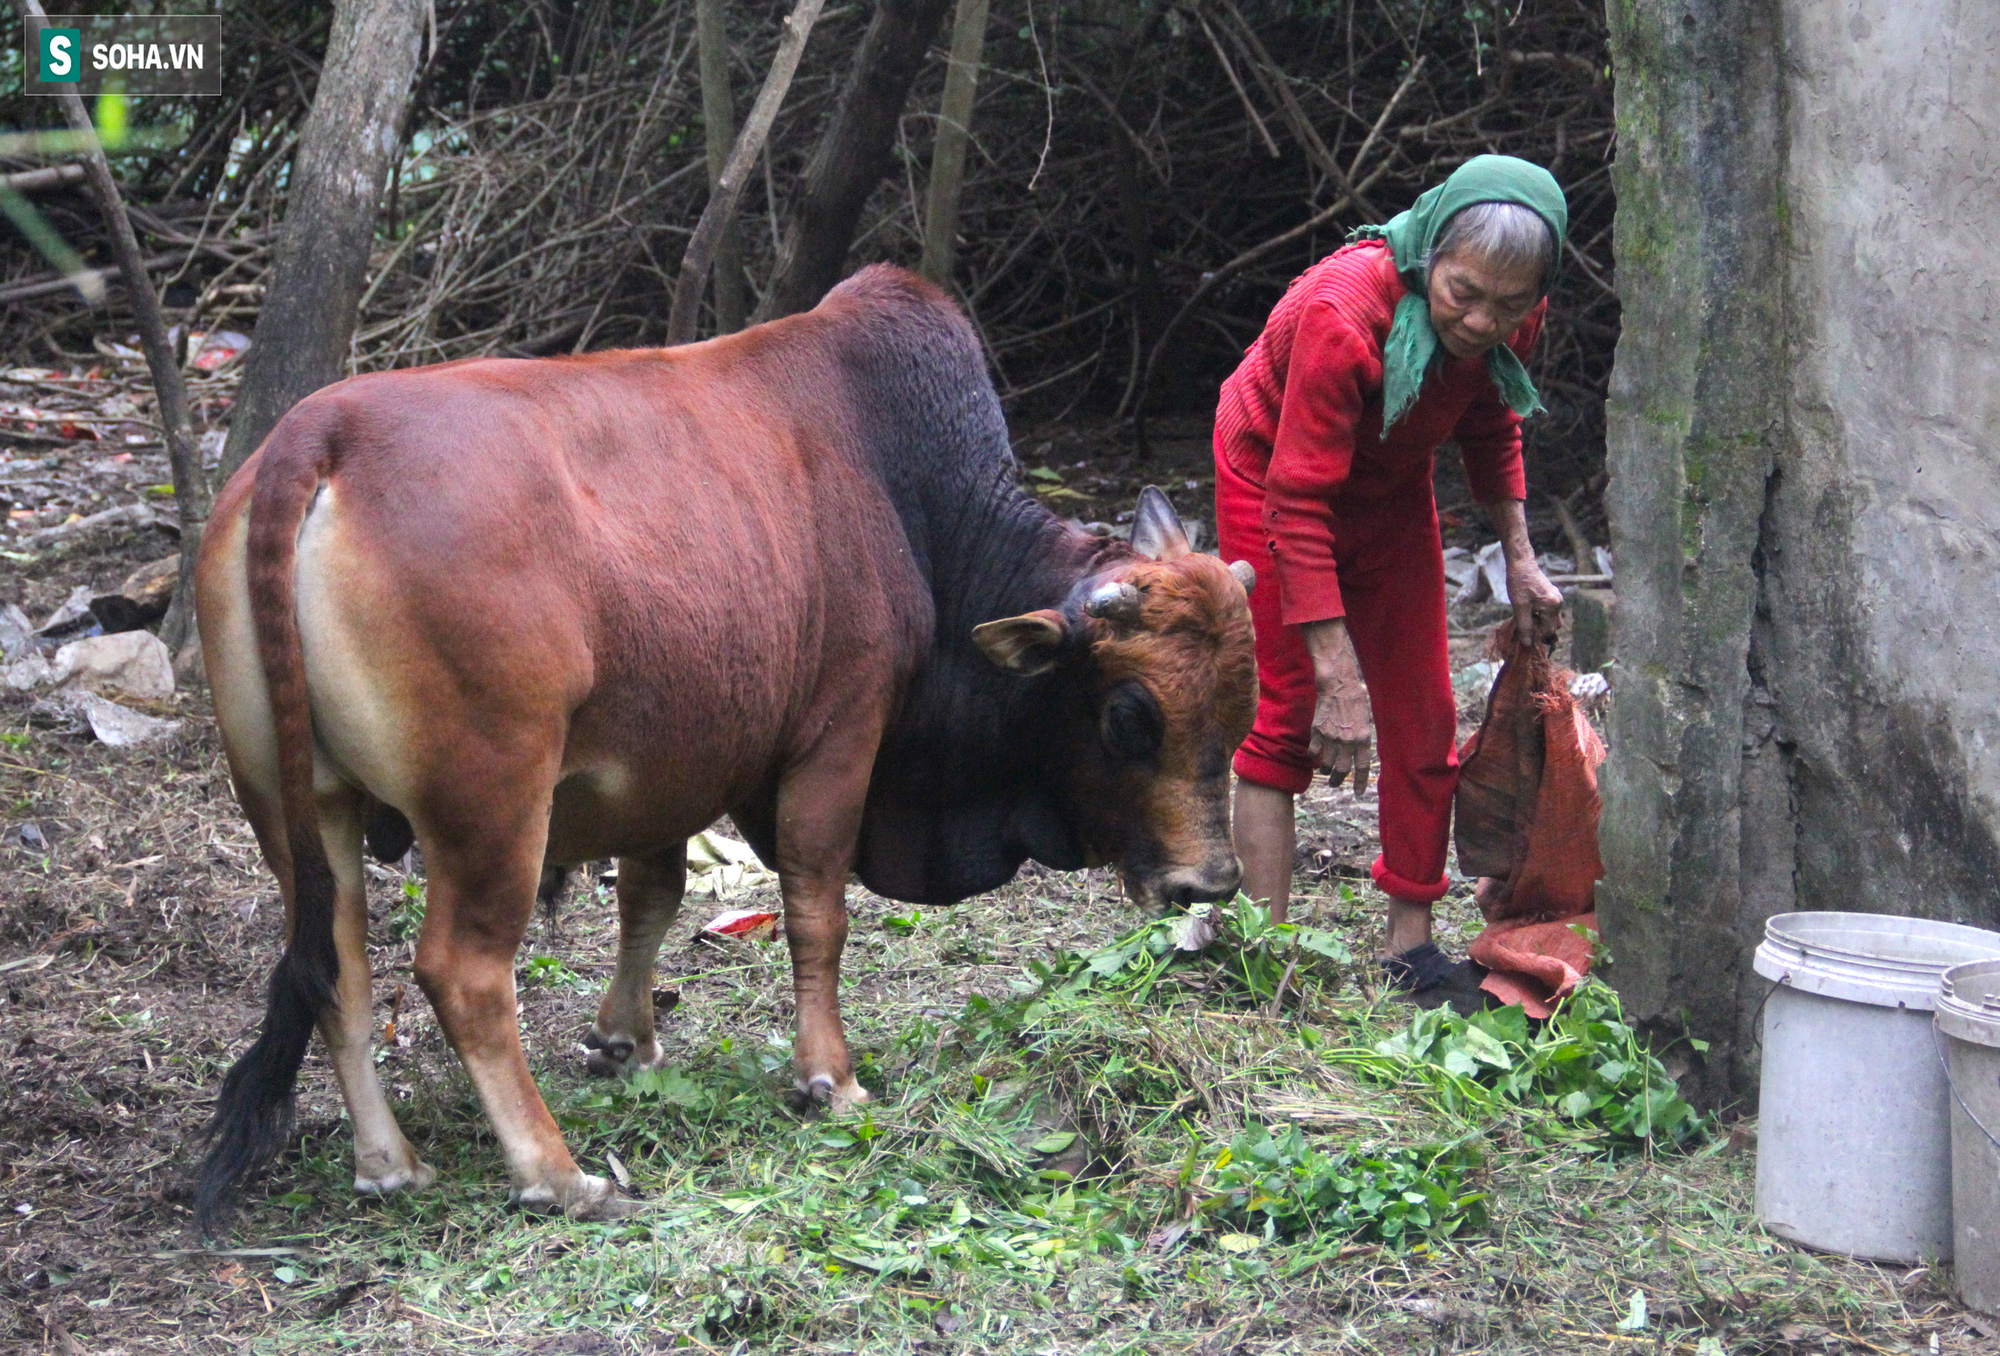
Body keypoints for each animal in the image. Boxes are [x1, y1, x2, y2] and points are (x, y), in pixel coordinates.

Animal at [188, 266, 1248, 1232]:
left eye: (1239, 716)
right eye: (1128, 716)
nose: (1210, 882)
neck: (918, 507)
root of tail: (316, 437)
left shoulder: (663, 765)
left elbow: (651, 895)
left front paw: (628, 1042)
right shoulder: (839, 732)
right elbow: (817, 909)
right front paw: (829, 1076)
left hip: (293, 804)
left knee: (335, 967)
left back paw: (391, 1162)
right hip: (494, 804)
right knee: (462, 973)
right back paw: (556, 1173)